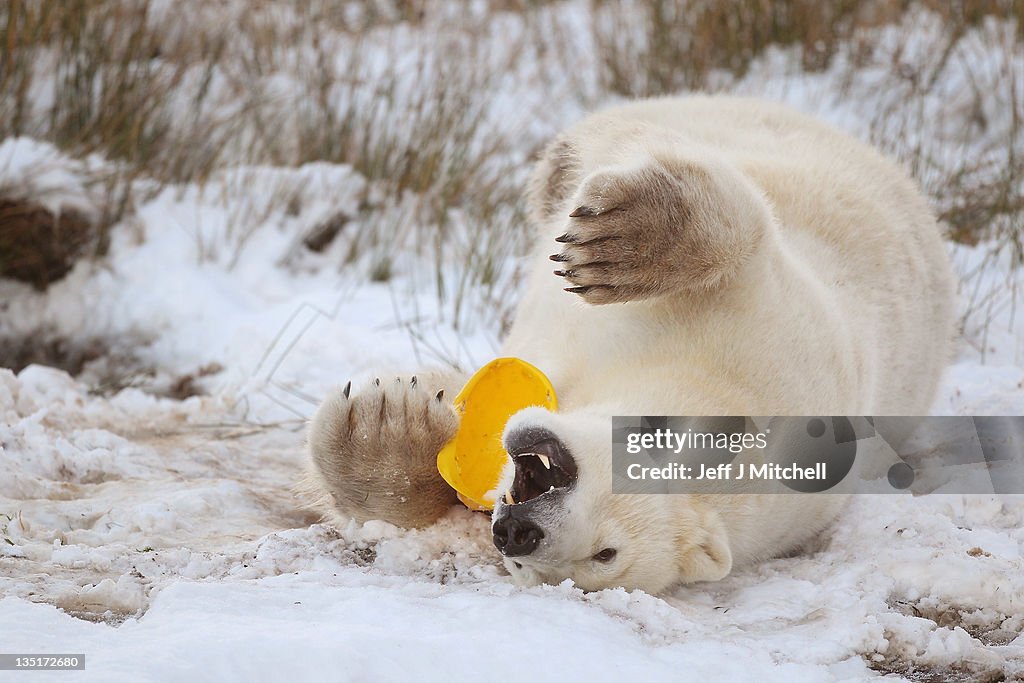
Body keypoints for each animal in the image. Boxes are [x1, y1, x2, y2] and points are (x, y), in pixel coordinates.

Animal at [301, 94, 950, 593]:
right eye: (644, 438)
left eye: (603, 555)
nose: (519, 533)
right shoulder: (776, 324)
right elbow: (746, 231)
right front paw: (614, 243)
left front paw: (382, 426)